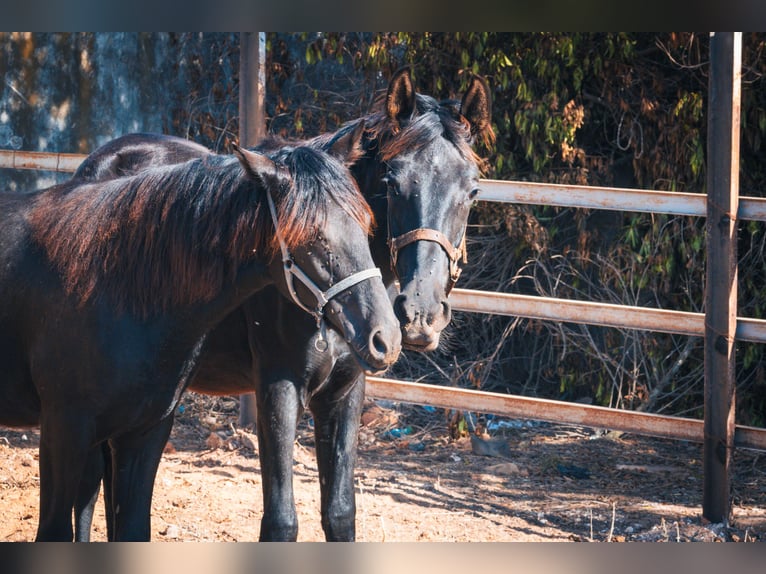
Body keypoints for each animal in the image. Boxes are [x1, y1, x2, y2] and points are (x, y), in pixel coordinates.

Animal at [3, 138, 402, 540]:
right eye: (312, 235)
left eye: (365, 222)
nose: (386, 336)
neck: (111, 284)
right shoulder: (64, 429)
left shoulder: (145, 430)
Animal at [72, 67, 492, 544]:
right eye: (391, 182)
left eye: (472, 190)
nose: (421, 314)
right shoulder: (278, 386)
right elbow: (280, 521)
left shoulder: (345, 391)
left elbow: (340, 513)